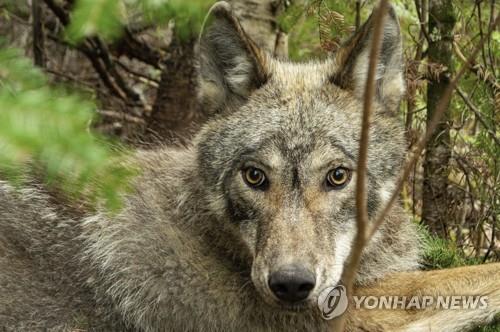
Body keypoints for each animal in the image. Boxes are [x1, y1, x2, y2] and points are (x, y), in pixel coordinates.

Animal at [0, 2, 498, 332]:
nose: (290, 286)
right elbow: (475, 276)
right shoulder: (344, 313)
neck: (217, 238)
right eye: (255, 176)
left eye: (337, 176)